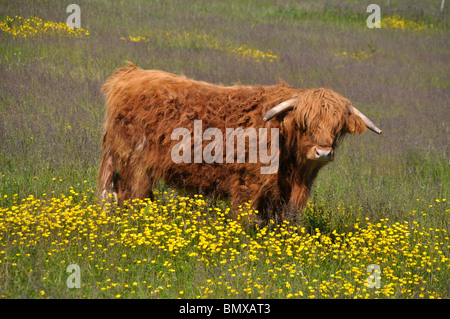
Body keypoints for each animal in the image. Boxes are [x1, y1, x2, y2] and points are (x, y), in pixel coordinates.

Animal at [97, 62, 380, 222]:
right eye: (304, 124)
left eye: (337, 127)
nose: (323, 152)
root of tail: (129, 74)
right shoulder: (246, 184)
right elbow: (245, 221)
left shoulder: (281, 195)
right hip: (135, 163)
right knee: (131, 195)